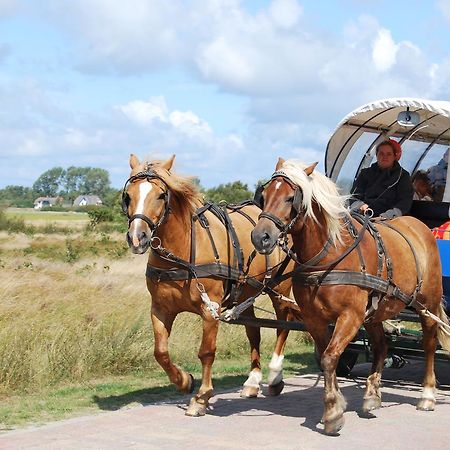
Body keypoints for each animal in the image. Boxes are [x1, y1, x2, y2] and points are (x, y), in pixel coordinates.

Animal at [123, 154, 298, 414]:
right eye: (128, 195)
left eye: (161, 195)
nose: (137, 237)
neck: (182, 251)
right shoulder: (160, 308)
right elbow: (160, 352)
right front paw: (184, 381)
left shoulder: (210, 309)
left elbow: (206, 352)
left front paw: (202, 397)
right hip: (245, 292)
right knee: (254, 332)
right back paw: (252, 381)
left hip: (280, 290)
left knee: (282, 327)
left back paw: (275, 378)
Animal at [251, 158, 450, 436]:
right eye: (265, 195)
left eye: (291, 198)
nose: (261, 237)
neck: (330, 253)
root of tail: (420, 227)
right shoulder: (315, 319)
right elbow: (328, 358)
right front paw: (335, 404)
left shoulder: (350, 315)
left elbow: (329, 356)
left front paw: (333, 413)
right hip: (376, 311)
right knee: (381, 346)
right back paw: (372, 396)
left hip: (427, 303)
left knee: (429, 344)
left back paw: (428, 395)